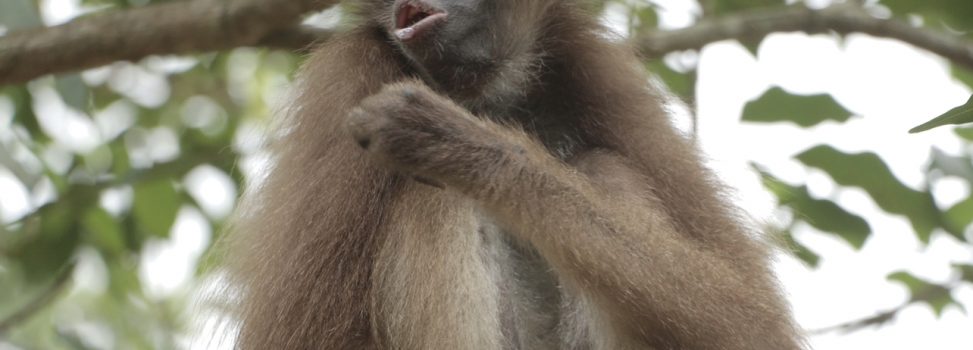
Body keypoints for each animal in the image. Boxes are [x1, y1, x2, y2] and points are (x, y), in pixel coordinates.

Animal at [224, 0, 808, 348]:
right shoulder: (350, 75)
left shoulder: (595, 73)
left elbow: (751, 323)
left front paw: (470, 145)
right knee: (434, 194)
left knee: (603, 166)